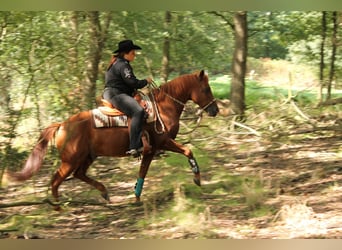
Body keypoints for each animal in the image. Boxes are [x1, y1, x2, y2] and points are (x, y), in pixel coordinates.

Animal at [8, 69, 219, 208]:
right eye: (206, 89)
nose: (215, 110)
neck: (163, 107)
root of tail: (62, 125)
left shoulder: (150, 151)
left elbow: (143, 172)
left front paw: (136, 196)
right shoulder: (163, 142)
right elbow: (188, 150)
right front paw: (197, 178)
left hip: (88, 156)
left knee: (79, 174)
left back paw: (104, 192)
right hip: (70, 159)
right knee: (56, 180)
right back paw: (59, 206)